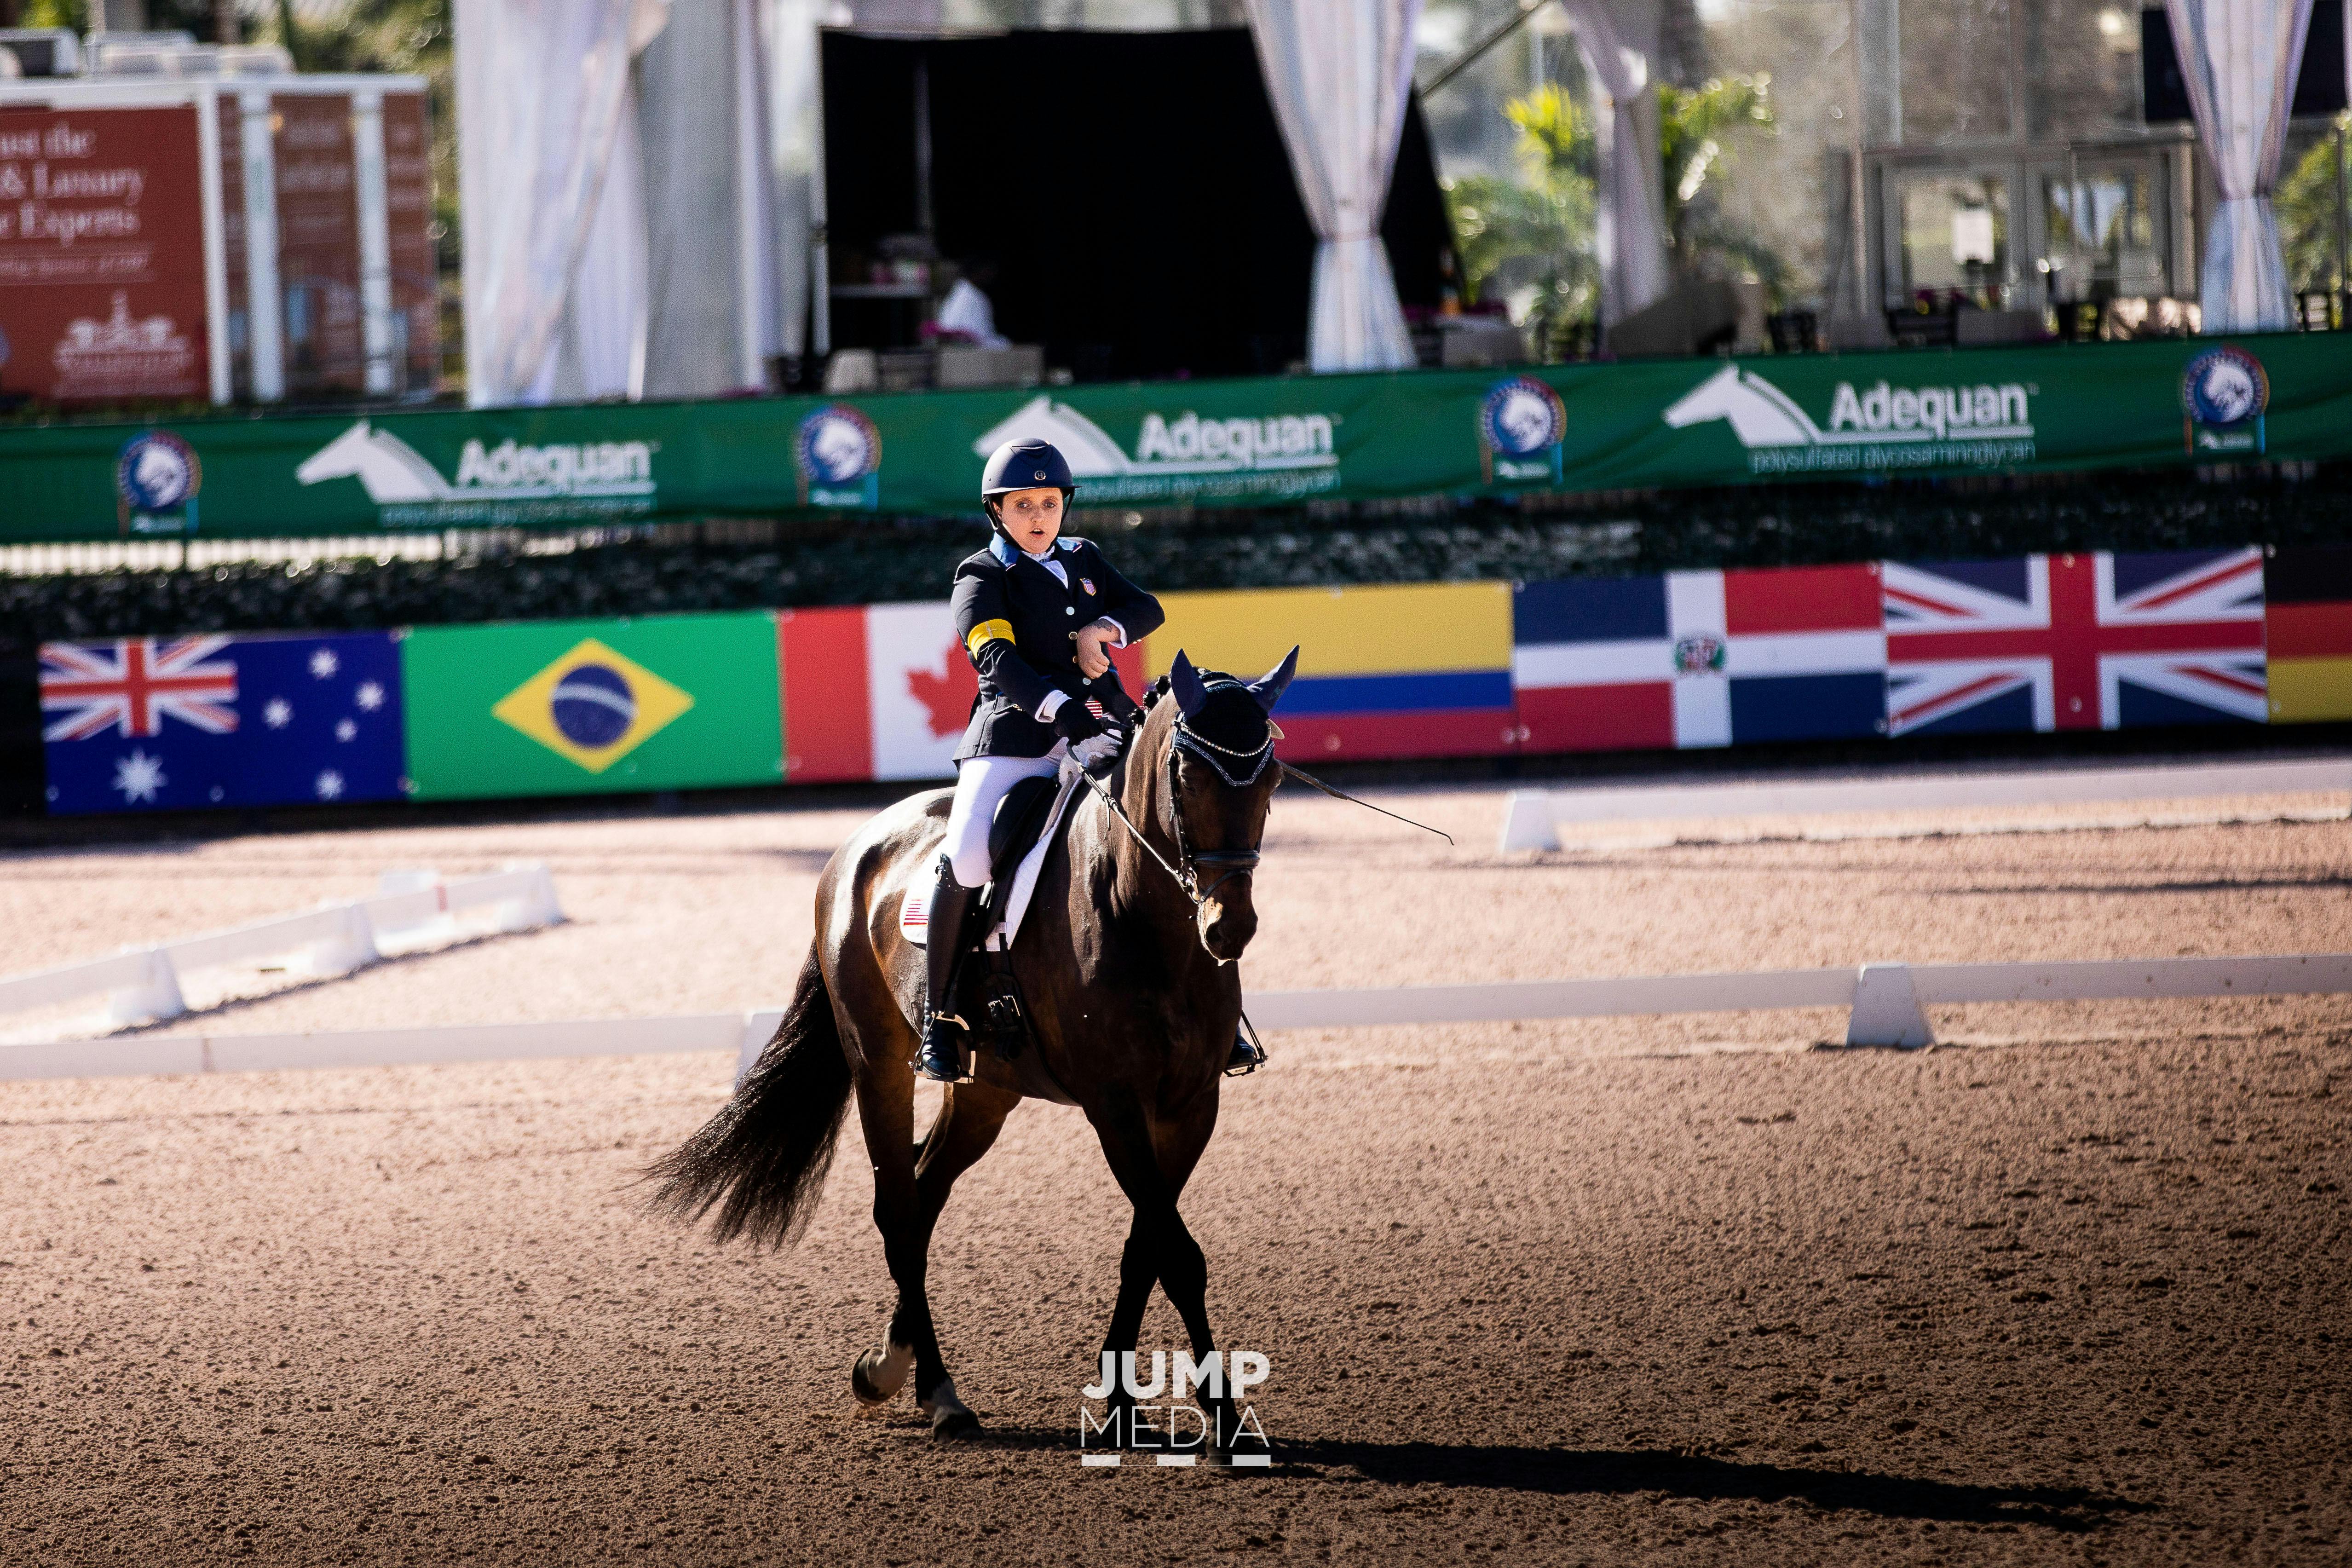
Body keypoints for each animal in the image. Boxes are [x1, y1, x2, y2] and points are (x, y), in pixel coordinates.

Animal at [644, 649, 1298, 1448]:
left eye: (1271, 777)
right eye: (1186, 775)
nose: (1228, 928)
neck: (1142, 916)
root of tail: (856, 848)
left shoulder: (1190, 1105)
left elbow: (1147, 1248)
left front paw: (1124, 1403)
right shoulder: (1114, 1105)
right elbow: (1176, 1254)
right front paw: (1221, 1415)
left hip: (988, 1087)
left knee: (924, 1194)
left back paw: (888, 1366)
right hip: (878, 1064)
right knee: (898, 1208)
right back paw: (940, 1394)